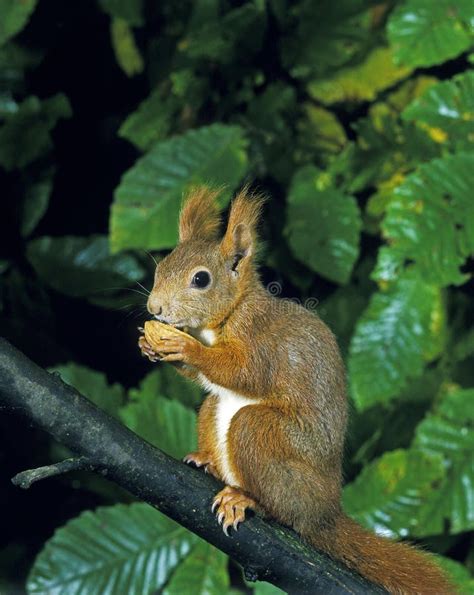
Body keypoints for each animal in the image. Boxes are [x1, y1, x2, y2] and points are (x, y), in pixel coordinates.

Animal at [137, 189, 452, 592]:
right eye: (161, 267)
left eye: (201, 279)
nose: (155, 307)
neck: (229, 313)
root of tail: (325, 513)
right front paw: (150, 346)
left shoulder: (260, 342)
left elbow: (245, 373)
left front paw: (184, 347)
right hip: (214, 410)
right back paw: (208, 461)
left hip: (269, 439)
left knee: (282, 506)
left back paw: (247, 500)